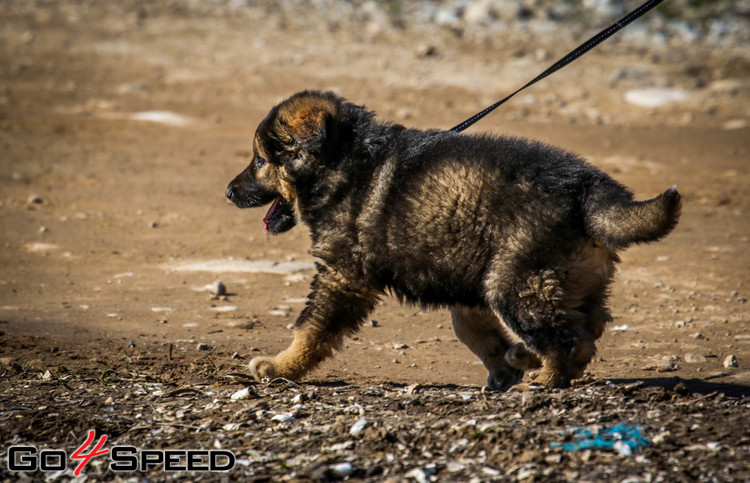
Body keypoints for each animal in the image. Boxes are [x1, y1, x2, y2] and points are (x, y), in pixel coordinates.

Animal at [225, 91, 680, 394]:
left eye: (260, 161)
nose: (228, 192)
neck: (343, 162)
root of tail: (587, 187)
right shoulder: (461, 271)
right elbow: (474, 330)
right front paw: (504, 366)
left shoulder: (342, 275)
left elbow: (311, 328)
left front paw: (280, 367)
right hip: (558, 276)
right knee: (587, 326)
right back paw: (530, 360)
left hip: (515, 281)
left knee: (568, 338)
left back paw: (544, 378)